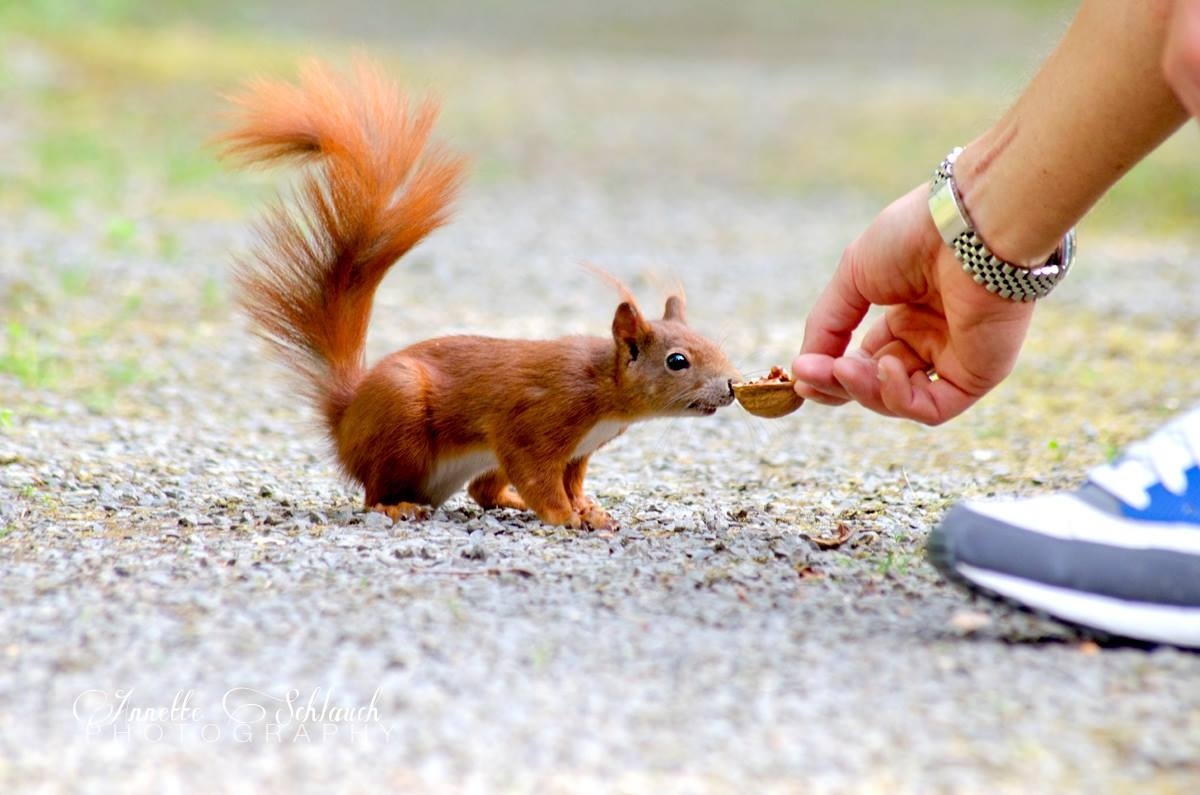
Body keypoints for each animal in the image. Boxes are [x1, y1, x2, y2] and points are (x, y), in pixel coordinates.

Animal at [219, 60, 734, 528]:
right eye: (677, 361)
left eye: (716, 344)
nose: (732, 385)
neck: (601, 387)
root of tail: (346, 418)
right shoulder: (534, 423)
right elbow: (539, 475)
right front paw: (564, 516)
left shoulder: (579, 453)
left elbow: (570, 481)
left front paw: (588, 509)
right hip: (400, 425)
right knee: (374, 494)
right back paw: (398, 506)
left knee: (482, 491)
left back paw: (509, 503)